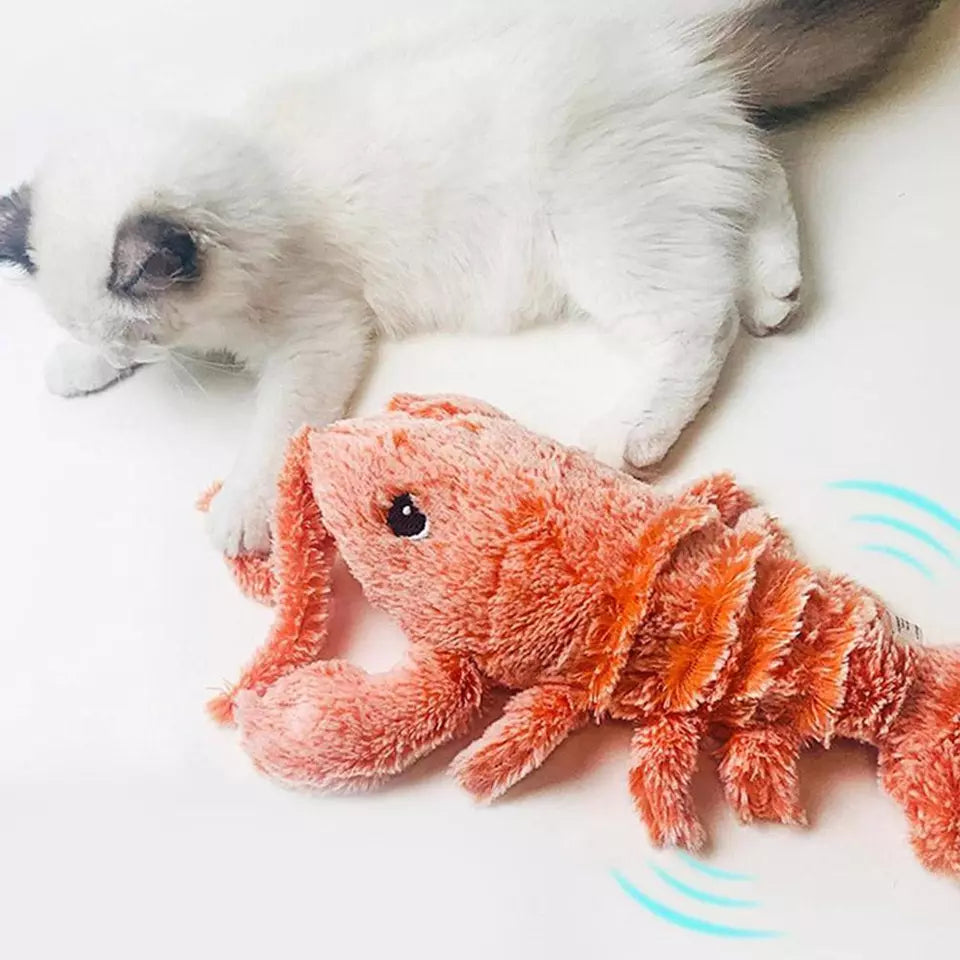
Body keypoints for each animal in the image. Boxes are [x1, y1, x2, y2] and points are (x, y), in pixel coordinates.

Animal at [0, 0, 936, 556]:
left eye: (139, 328)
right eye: (114, 335)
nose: (120, 352)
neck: (258, 182)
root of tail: (672, 43)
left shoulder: (317, 336)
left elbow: (273, 430)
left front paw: (243, 508)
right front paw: (72, 365)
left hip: (598, 237)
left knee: (699, 317)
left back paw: (634, 432)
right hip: (678, 186)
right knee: (760, 175)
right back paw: (776, 288)